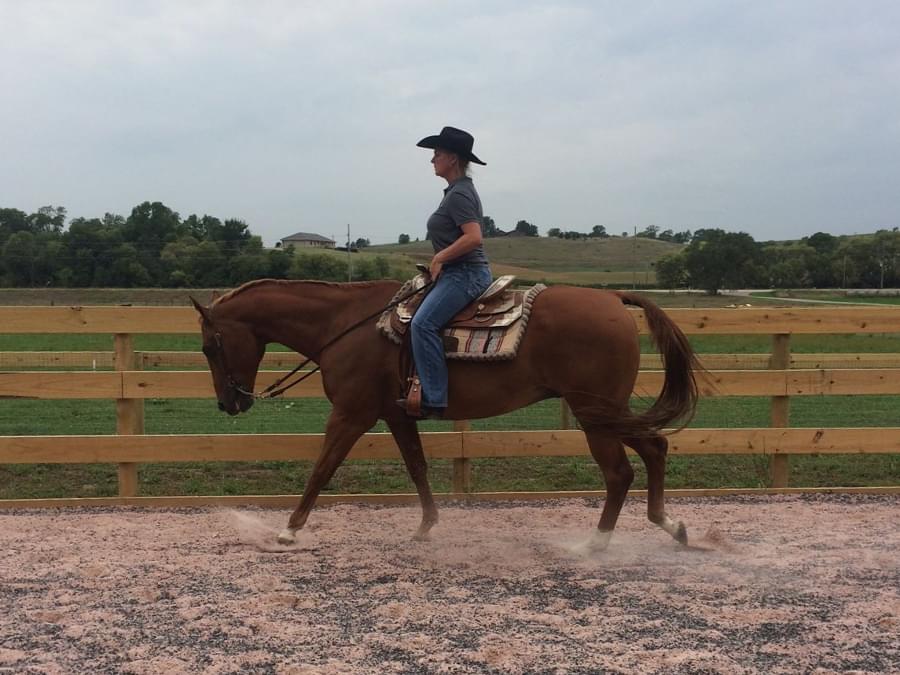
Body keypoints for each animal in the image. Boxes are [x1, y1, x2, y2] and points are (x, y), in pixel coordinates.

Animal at [191, 278, 700, 550]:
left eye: (209, 346)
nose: (229, 403)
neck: (346, 325)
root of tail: (613, 297)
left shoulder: (351, 414)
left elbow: (322, 469)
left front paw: (288, 531)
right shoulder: (395, 415)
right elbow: (417, 467)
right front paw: (426, 526)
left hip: (595, 412)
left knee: (619, 472)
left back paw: (596, 545)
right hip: (607, 410)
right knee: (656, 445)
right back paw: (671, 525)